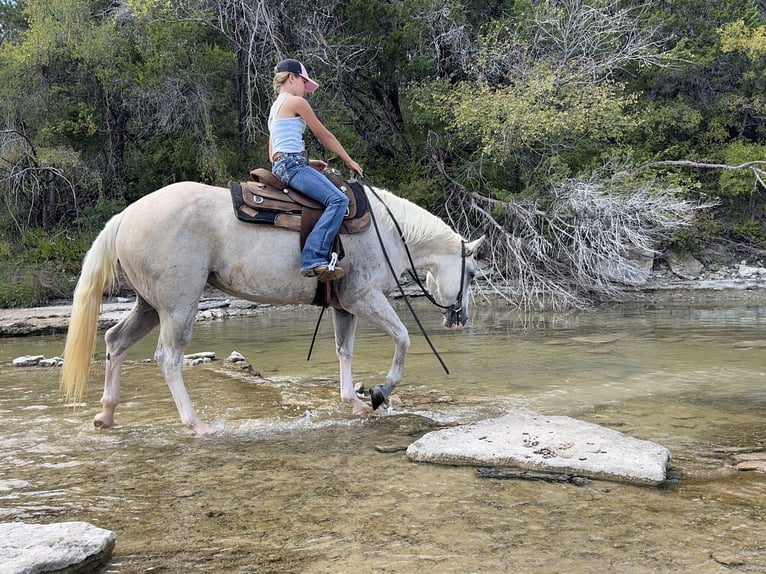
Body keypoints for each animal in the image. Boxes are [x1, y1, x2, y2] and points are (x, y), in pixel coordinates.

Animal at [60, 179, 485, 435]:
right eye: (472, 273)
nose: (460, 319)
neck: (387, 232)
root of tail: (125, 216)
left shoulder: (343, 306)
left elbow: (344, 351)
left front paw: (354, 403)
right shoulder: (364, 297)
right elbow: (403, 338)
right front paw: (380, 393)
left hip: (149, 305)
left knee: (116, 342)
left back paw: (106, 415)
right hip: (178, 306)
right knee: (168, 358)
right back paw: (196, 424)